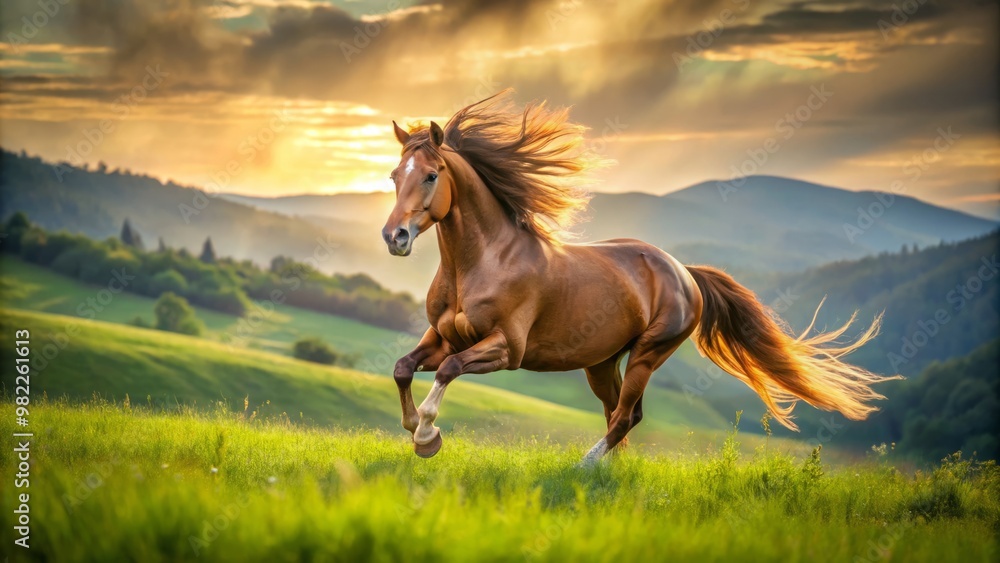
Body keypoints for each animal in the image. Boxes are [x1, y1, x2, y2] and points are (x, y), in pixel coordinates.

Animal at [381, 91, 900, 464]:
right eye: (393, 175)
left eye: (431, 175)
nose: (394, 236)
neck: (483, 262)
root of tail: (684, 272)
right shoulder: (442, 336)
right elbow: (404, 367)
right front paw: (416, 431)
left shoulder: (506, 349)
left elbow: (447, 371)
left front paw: (427, 435)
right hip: (601, 362)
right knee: (619, 413)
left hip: (650, 353)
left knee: (624, 417)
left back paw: (584, 468)